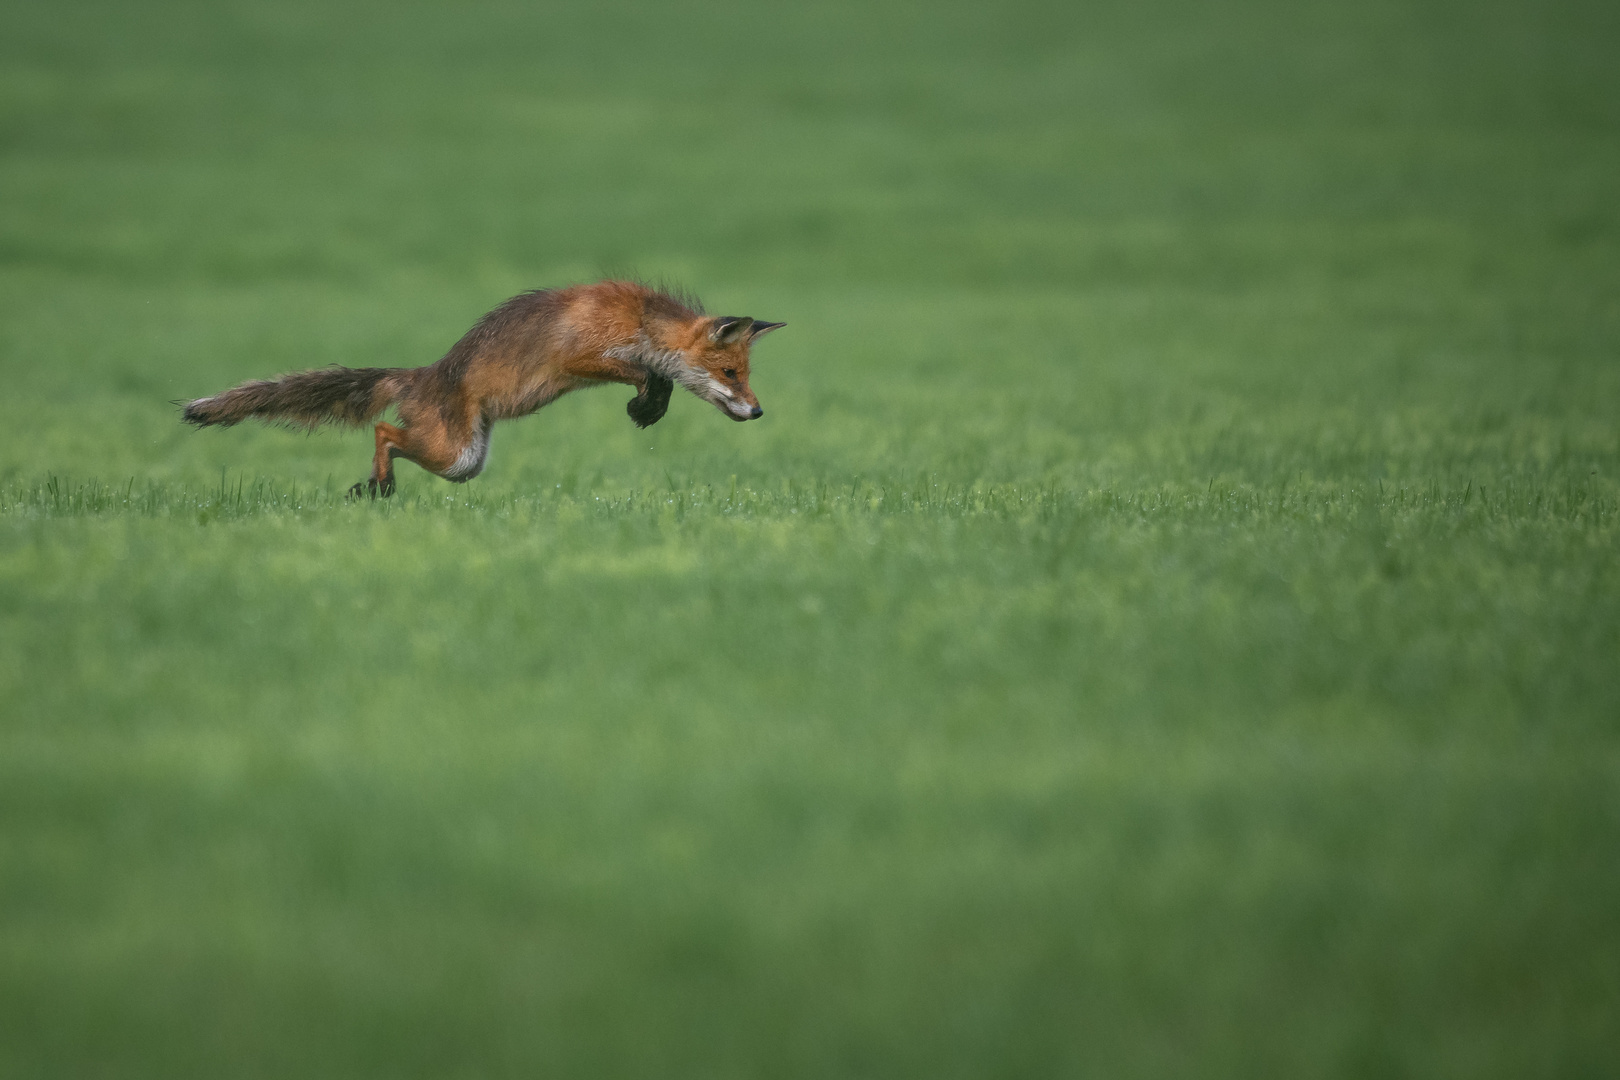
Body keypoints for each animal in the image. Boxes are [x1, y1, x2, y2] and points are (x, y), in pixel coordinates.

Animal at [179, 278, 784, 498]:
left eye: (746, 375)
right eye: (731, 375)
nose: (758, 413)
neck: (638, 321)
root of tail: (424, 374)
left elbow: (657, 376)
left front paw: (651, 407)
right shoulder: (582, 355)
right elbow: (645, 373)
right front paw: (646, 405)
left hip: (466, 461)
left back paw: (371, 486)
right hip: (455, 454)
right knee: (382, 429)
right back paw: (379, 485)